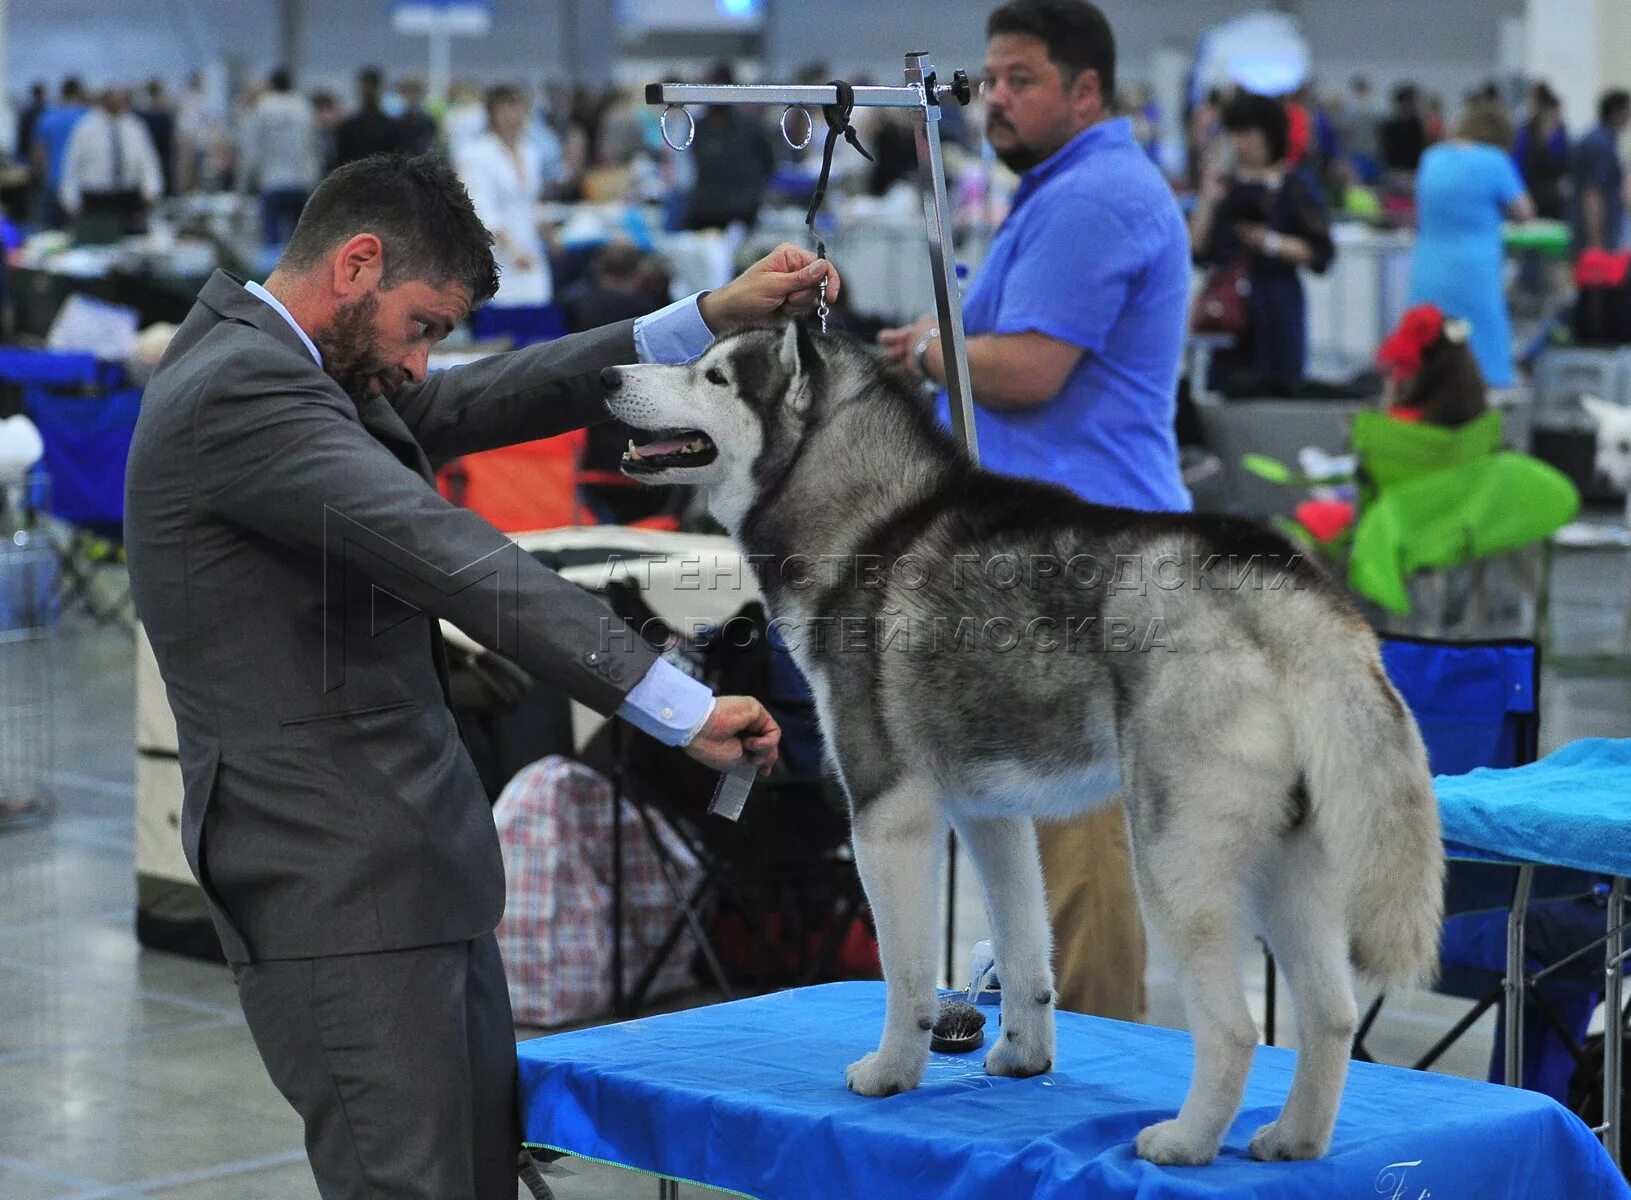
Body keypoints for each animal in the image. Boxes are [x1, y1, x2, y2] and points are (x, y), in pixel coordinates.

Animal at [600, 321, 1441, 1160]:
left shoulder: (886, 813)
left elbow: (904, 973)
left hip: (1174, 861)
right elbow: (1022, 945)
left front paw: (891, 1071)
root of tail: (1286, 591)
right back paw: (1292, 1141)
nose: (608, 375)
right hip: (1290, 862)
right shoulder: (991, 814)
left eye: (712, 376)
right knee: (1330, 1013)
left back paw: (1183, 1143)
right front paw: (1021, 1057)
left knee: (1234, 1031)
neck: (871, 520)